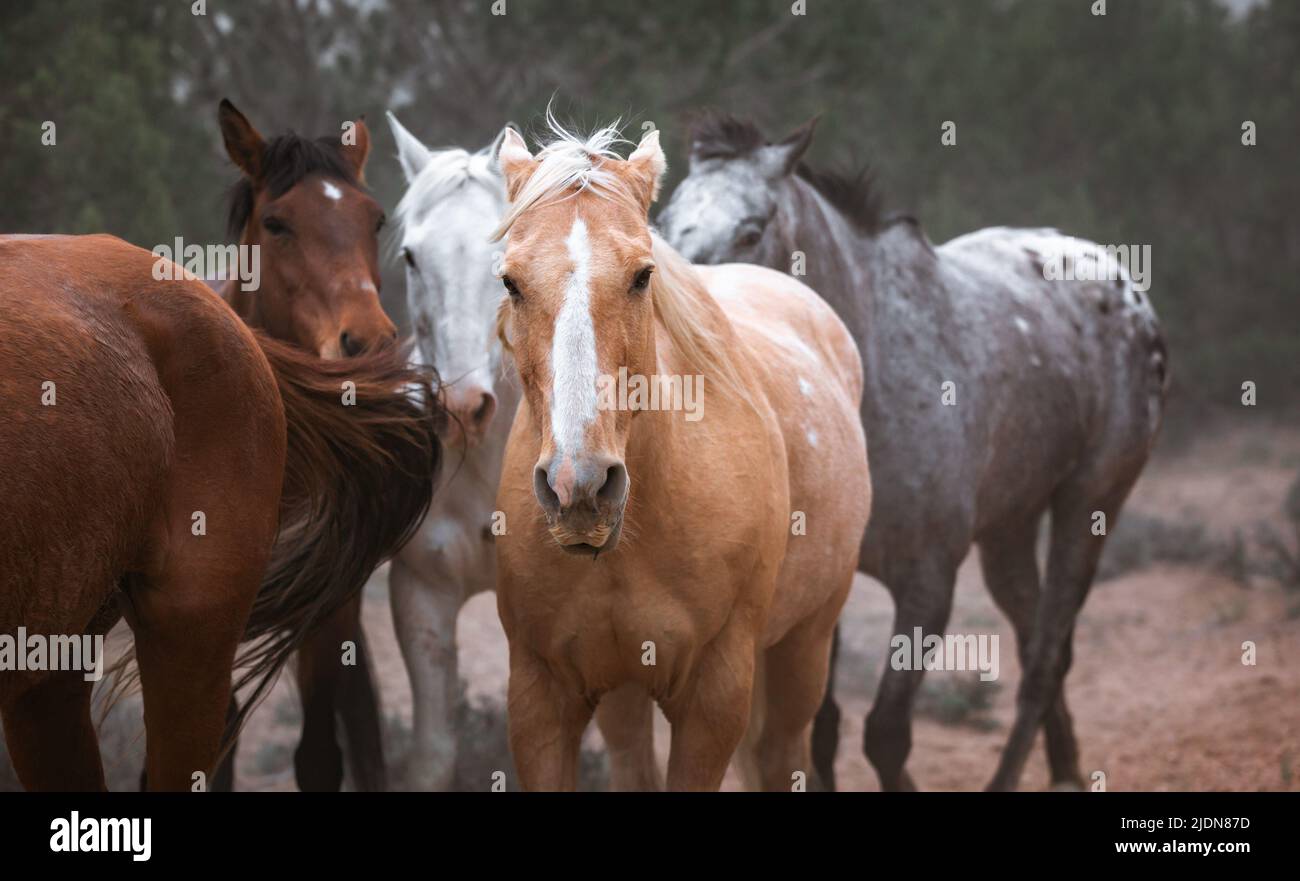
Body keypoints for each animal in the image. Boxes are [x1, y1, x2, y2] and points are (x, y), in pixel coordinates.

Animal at [490, 118, 871, 791]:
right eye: (511, 281)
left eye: (643, 275)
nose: (580, 487)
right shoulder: (539, 696)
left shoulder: (712, 700)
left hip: (804, 647)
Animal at [657, 112, 1168, 791]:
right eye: (665, 219)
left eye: (751, 228)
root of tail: (1122, 284)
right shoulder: (825, 585)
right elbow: (820, 732)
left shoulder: (927, 582)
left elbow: (885, 734)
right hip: (1009, 531)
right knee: (1040, 642)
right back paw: (1066, 769)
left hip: (1089, 506)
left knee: (1042, 663)